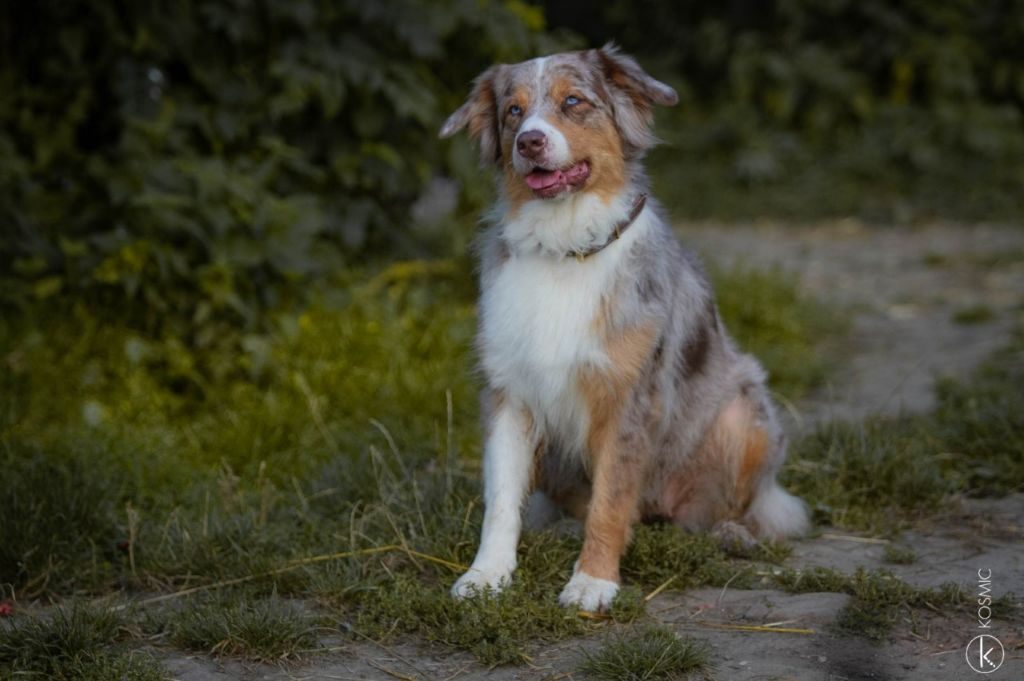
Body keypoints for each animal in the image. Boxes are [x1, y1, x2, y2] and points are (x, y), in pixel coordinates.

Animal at [440, 45, 806, 614]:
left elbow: (611, 501)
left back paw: (731, 533)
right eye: (512, 112)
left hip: (747, 415)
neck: (565, 247)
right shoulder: (509, 394)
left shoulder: (628, 398)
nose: (529, 142)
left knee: (750, 509)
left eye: (574, 101)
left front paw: (592, 581)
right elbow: (500, 501)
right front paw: (487, 575)